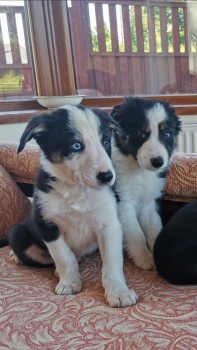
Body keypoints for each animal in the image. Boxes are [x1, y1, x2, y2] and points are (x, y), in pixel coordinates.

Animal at [8, 105, 137, 308]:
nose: (107, 177)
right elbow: (63, 257)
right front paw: (69, 282)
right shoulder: (46, 224)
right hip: (18, 233)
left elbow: (112, 262)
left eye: (106, 141)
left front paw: (118, 292)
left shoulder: (109, 225)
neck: (77, 190)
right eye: (76, 145)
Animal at [111, 98, 181, 270]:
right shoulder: (123, 202)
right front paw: (144, 258)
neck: (139, 170)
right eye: (141, 133)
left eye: (166, 134)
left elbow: (154, 227)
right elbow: (136, 233)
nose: (158, 162)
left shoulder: (149, 202)